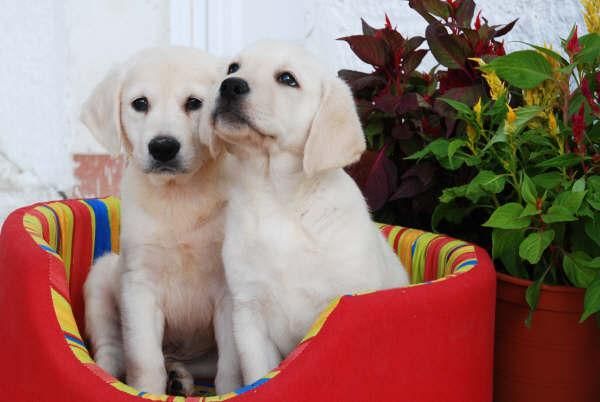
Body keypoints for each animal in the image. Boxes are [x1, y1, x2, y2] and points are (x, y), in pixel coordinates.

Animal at [82, 47, 241, 396]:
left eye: (194, 103)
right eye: (140, 103)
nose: (163, 147)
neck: (177, 195)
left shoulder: (231, 289)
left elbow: (232, 362)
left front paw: (232, 390)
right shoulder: (139, 284)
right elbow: (143, 359)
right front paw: (148, 391)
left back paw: (179, 377)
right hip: (101, 276)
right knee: (112, 350)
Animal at [209, 41, 410, 386]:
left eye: (287, 79)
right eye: (233, 67)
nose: (229, 85)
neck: (278, 200)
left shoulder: (342, 301)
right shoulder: (249, 313)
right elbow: (259, 373)